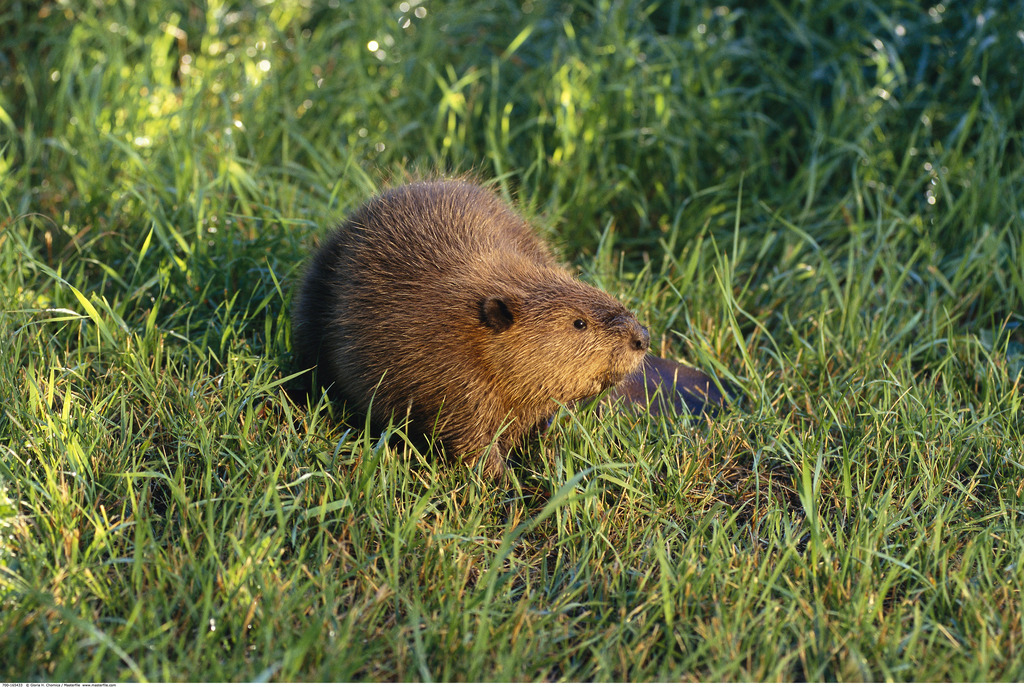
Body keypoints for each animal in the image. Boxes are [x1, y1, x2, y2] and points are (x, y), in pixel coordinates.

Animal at [292, 180, 651, 475]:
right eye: (579, 323)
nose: (642, 337)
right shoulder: (453, 378)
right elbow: (468, 438)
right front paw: (508, 485)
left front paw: (549, 455)